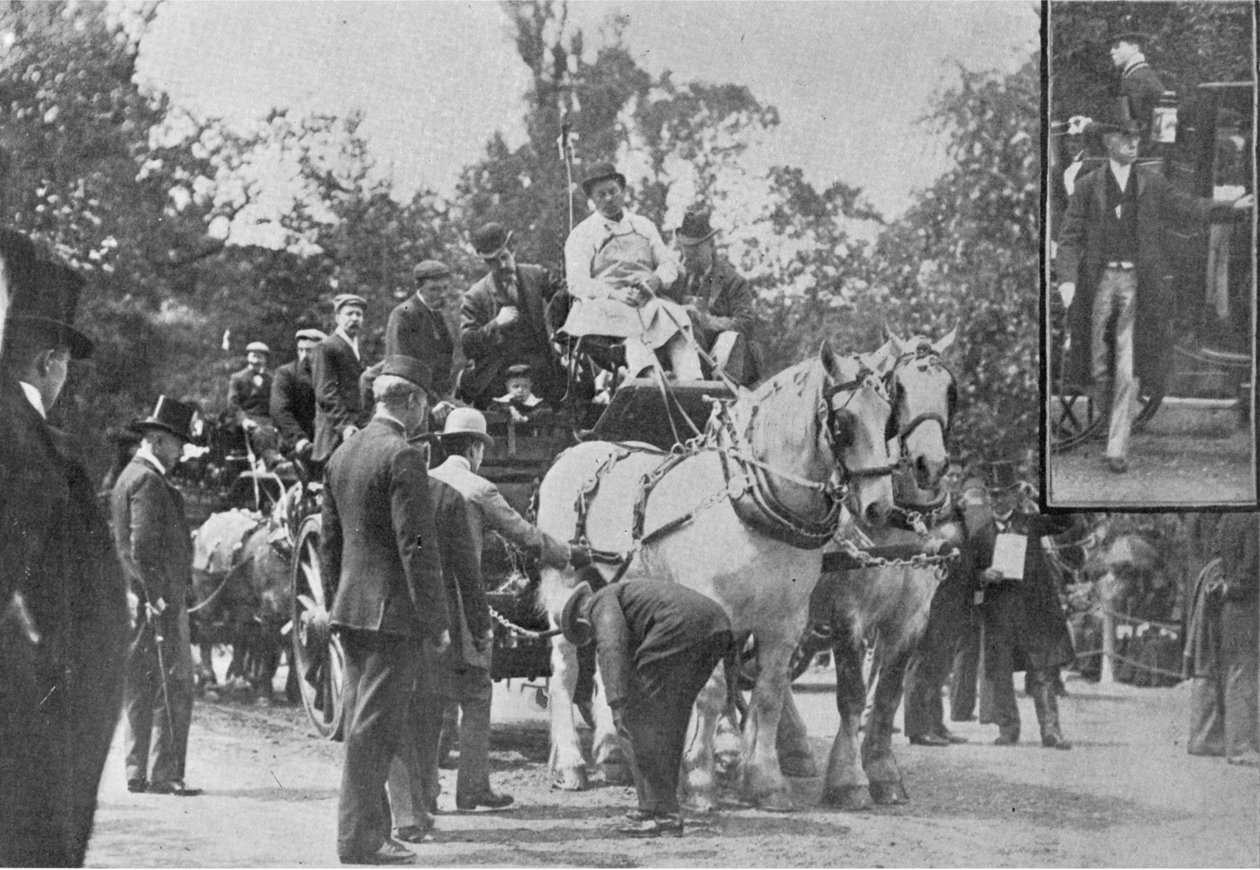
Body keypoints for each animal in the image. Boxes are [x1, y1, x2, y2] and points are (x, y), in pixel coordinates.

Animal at [536, 337, 902, 806]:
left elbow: (768, 696)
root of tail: (571, 452)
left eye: (889, 421)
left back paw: (613, 755)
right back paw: (570, 764)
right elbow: (711, 694)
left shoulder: (786, 622)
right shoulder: (715, 613)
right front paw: (699, 781)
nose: (879, 508)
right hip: (565, 584)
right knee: (566, 670)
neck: (748, 503)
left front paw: (765, 782)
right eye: (843, 424)